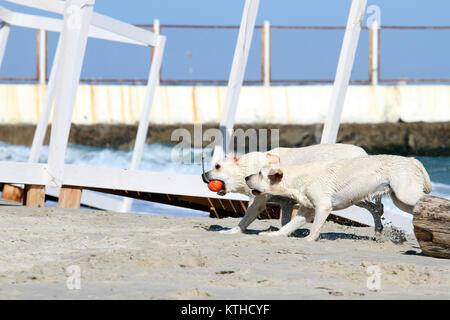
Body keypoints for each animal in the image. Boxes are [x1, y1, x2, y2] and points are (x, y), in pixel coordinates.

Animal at [203, 144, 384, 234]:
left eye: (217, 166)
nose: (203, 175)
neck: (247, 167)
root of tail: (363, 153)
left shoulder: (258, 199)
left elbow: (246, 218)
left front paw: (231, 231)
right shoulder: (286, 203)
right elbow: (286, 220)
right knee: (373, 206)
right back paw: (378, 226)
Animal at [246, 154, 432, 241]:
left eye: (260, 174)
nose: (247, 177)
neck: (299, 178)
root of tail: (411, 159)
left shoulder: (323, 206)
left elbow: (315, 227)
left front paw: (309, 239)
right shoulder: (307, 210)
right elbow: (288, 226)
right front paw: (273, 235)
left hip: (405, 194)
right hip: (400, 199)